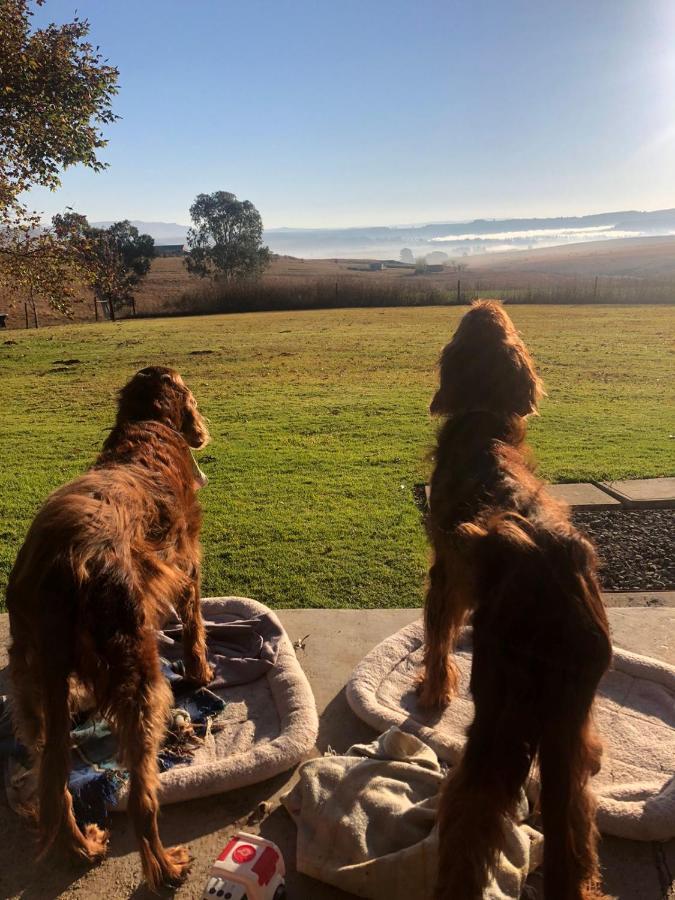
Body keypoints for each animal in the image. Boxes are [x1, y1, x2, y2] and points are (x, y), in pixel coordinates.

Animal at [6, 368, 213, 892]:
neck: (145, 425)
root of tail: (60, 567)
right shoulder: (188, 563)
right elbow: (194, 626)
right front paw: (202, 673)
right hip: (140, 677)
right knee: (141, 795)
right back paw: (165, 868)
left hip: (35, 686)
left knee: (54, 776)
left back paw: (81, 847)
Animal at [418, 304, 612, 900]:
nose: (483, 303)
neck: (485, 425)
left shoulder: (445, 574)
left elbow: (436, 635)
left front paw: (432, 691)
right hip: (570, 722)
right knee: (572, 821)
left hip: (500, 712)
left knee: (470, 813)